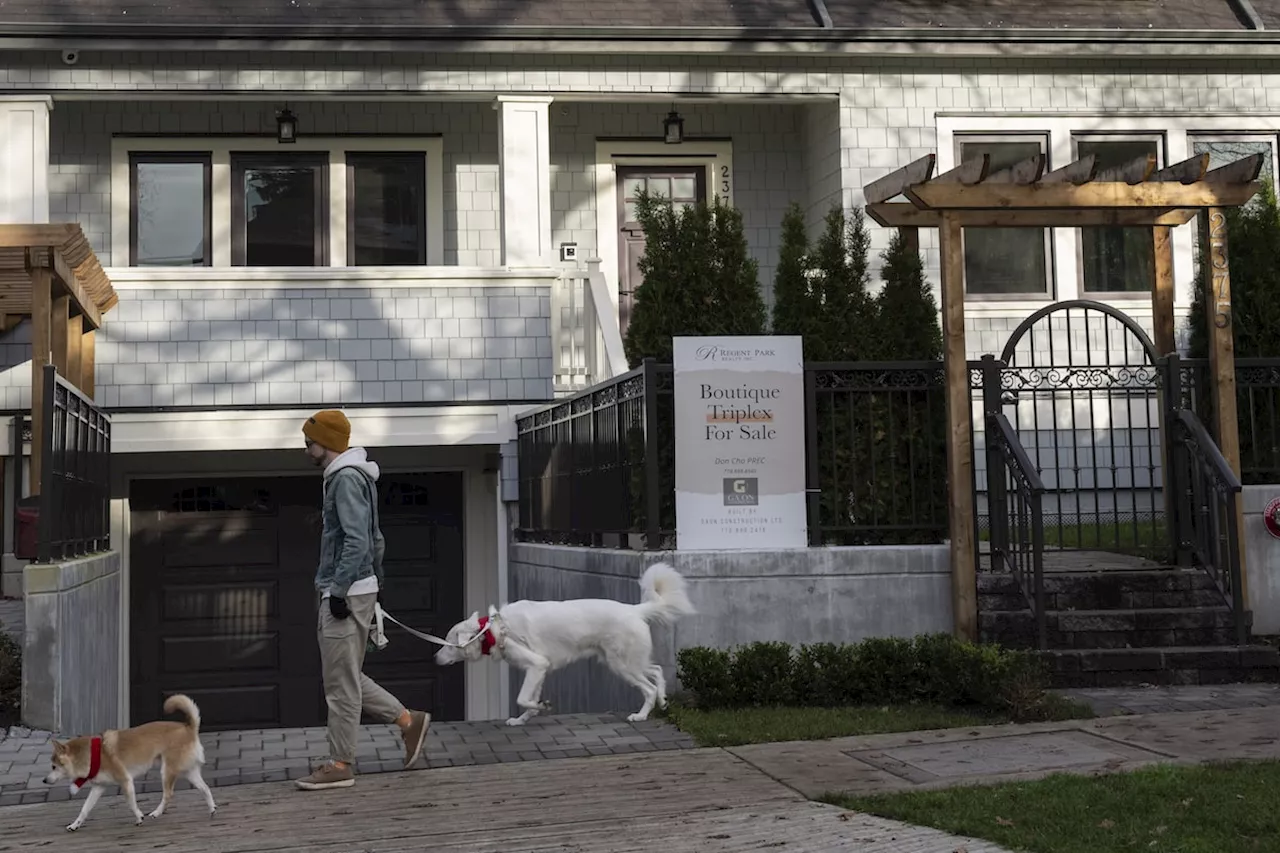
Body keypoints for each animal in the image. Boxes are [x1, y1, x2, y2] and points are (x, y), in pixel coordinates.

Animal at [43, 691, 215, 829]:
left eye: (53, 767)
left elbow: (131, 804)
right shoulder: (98, 787)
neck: (92, 754)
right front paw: (75, 825)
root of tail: (189, 727)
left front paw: (139, 817)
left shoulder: (126, 781)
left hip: (167, 771)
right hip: (189, 772)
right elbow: (85, 809)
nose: (44, 780)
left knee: (168, 795)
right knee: (205, 788)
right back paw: (212, 809)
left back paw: (156, 812)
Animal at [435, 560, 696, 722]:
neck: (493, 630)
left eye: (448, 644)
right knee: (657, 670)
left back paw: (641, 715)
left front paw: (540, 707)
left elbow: (522, 698)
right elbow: (529, 700)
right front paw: (524, 719)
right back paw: (663, 700)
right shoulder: (539, 669)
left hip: (622, 665)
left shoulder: (536, 664)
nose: (435, 657)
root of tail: (634, 610)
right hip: (628, 662)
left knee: (648, 688)